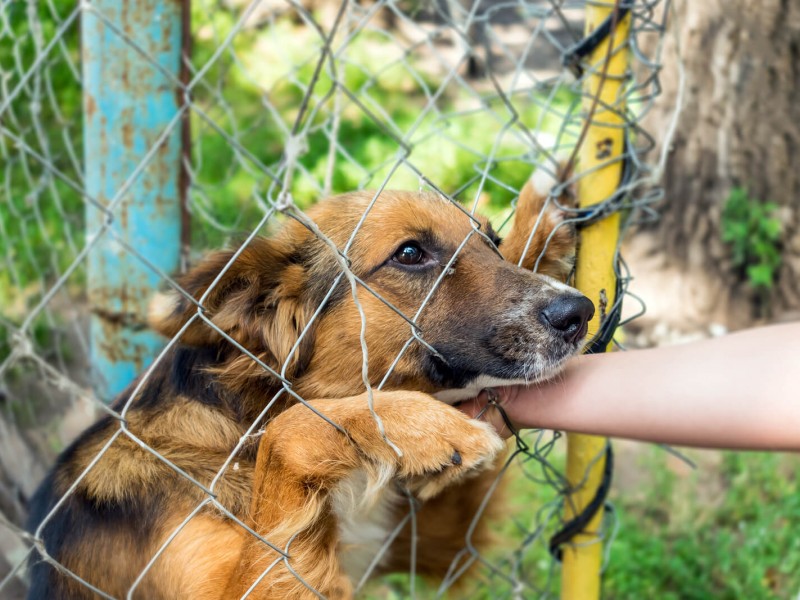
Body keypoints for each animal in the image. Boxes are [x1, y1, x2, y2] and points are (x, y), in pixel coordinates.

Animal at [26, 165, 592, 600]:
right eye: (410, 253)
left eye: (491, 242)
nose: (579, 313)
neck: (242, 420)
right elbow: (292, 430)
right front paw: (416, 425)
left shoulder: (432, 546)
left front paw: (542, 217)